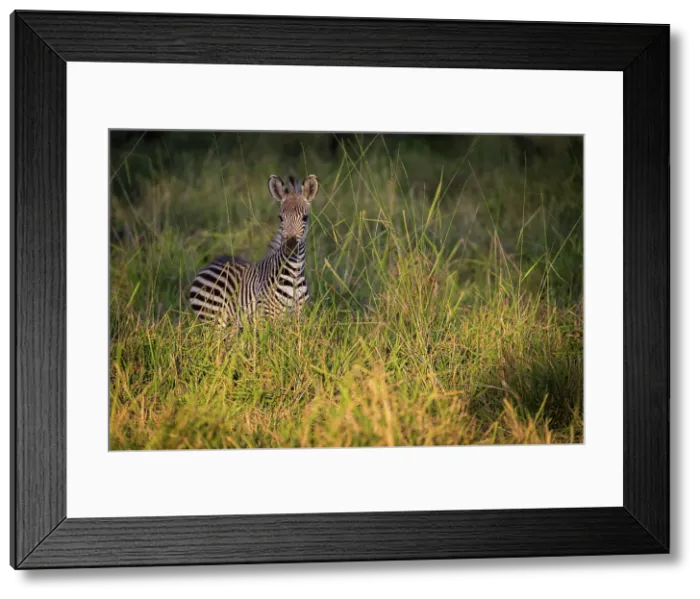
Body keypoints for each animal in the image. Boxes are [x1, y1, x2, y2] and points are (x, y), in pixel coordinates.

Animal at [188, 173, 319, 328]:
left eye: (305, 217)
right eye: (281, 218)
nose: (290, 246)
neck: (295, 272)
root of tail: (212, 263)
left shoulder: (298, 317)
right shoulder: (268, 315)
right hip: (213, 319)